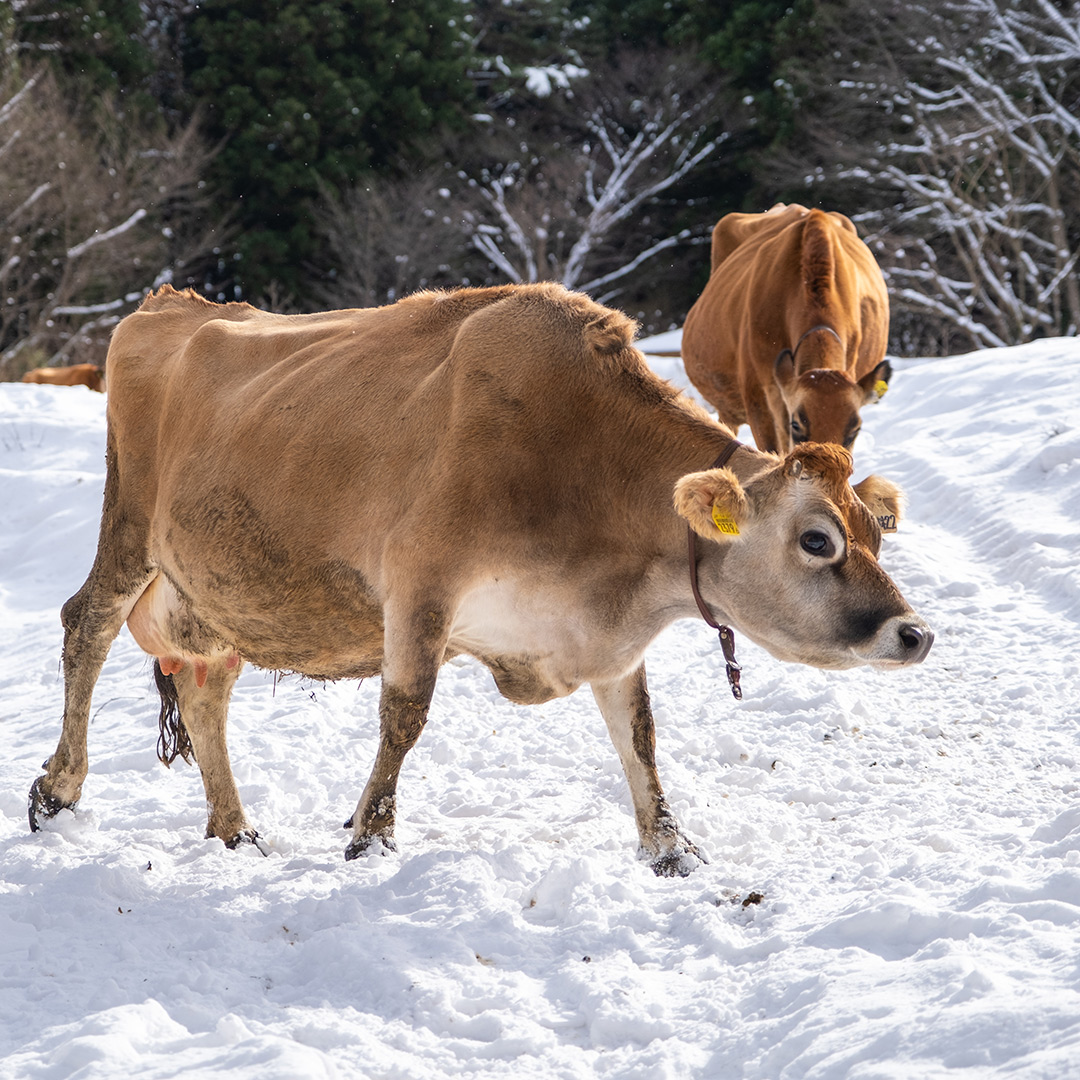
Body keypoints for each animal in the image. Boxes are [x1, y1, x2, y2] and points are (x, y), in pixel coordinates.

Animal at [29, 285, 933, 876]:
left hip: (215, 589)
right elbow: (404, 717)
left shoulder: (606, 635)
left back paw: (234, 828)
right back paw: (59, 788)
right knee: (87, 624)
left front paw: (670, 848)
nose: (914, 632)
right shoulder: (420, 580)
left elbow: (638, 736)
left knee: (207, 685)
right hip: (132, 526)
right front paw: (370, 837)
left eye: (876, 532)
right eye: (816, 540)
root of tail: (167, 302)